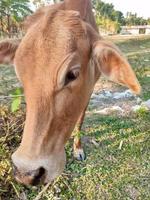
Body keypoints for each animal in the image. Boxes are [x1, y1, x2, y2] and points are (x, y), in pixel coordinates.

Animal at [0, 0, 141, 185]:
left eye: (72, 74)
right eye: (19, 73)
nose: (26, 172)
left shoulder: (89, 90)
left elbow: (80, 120)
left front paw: (78, 149)